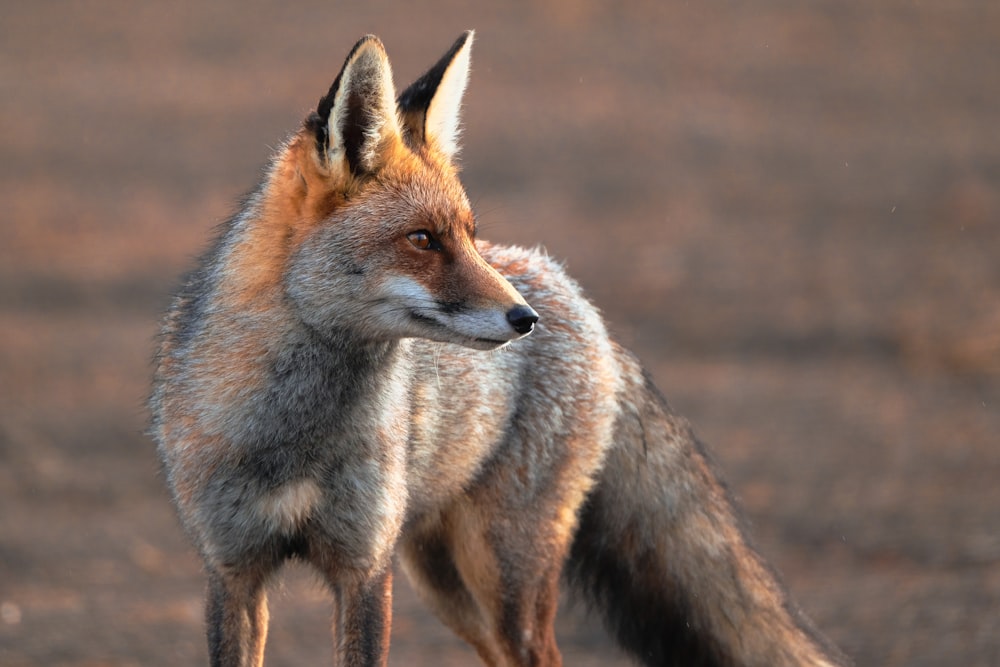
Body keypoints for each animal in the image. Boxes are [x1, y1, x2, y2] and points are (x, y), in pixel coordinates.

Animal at [150, 28, 852, 664]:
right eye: (423, 239)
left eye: (467, 233)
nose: (524, 318)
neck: (295, 435)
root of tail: (574, 295)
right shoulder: (233, 570)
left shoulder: (365, 569)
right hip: (446, 585)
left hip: (501, 576)